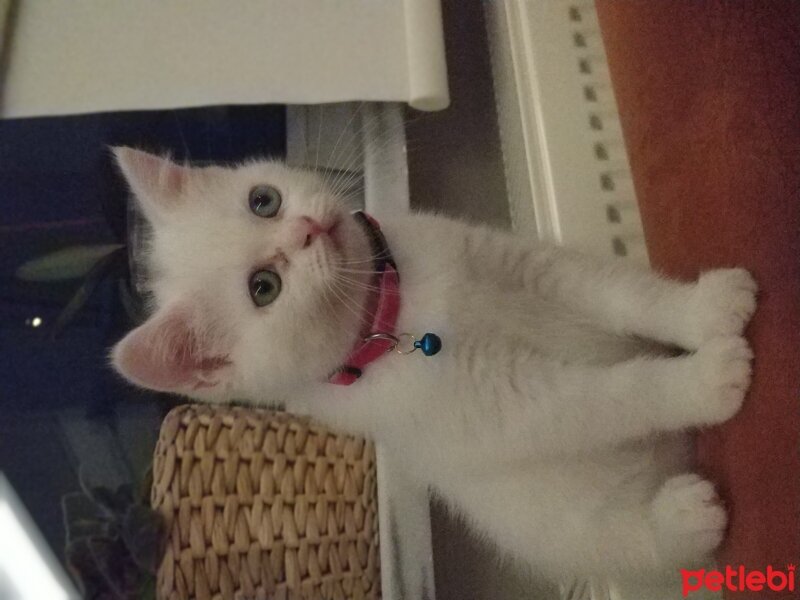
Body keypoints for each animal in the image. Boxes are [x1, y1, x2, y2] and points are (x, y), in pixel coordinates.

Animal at [111, 148, 756, 584]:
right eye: (263, 287)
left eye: (262, 200)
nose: (308, 227)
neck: (391, 314)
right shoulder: (494, 405)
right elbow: (603, 400)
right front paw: (704, 380)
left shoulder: (522, 265)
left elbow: (621, 294)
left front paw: (705, 308)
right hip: (555, 527)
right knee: (626, 544)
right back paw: (680, 517)